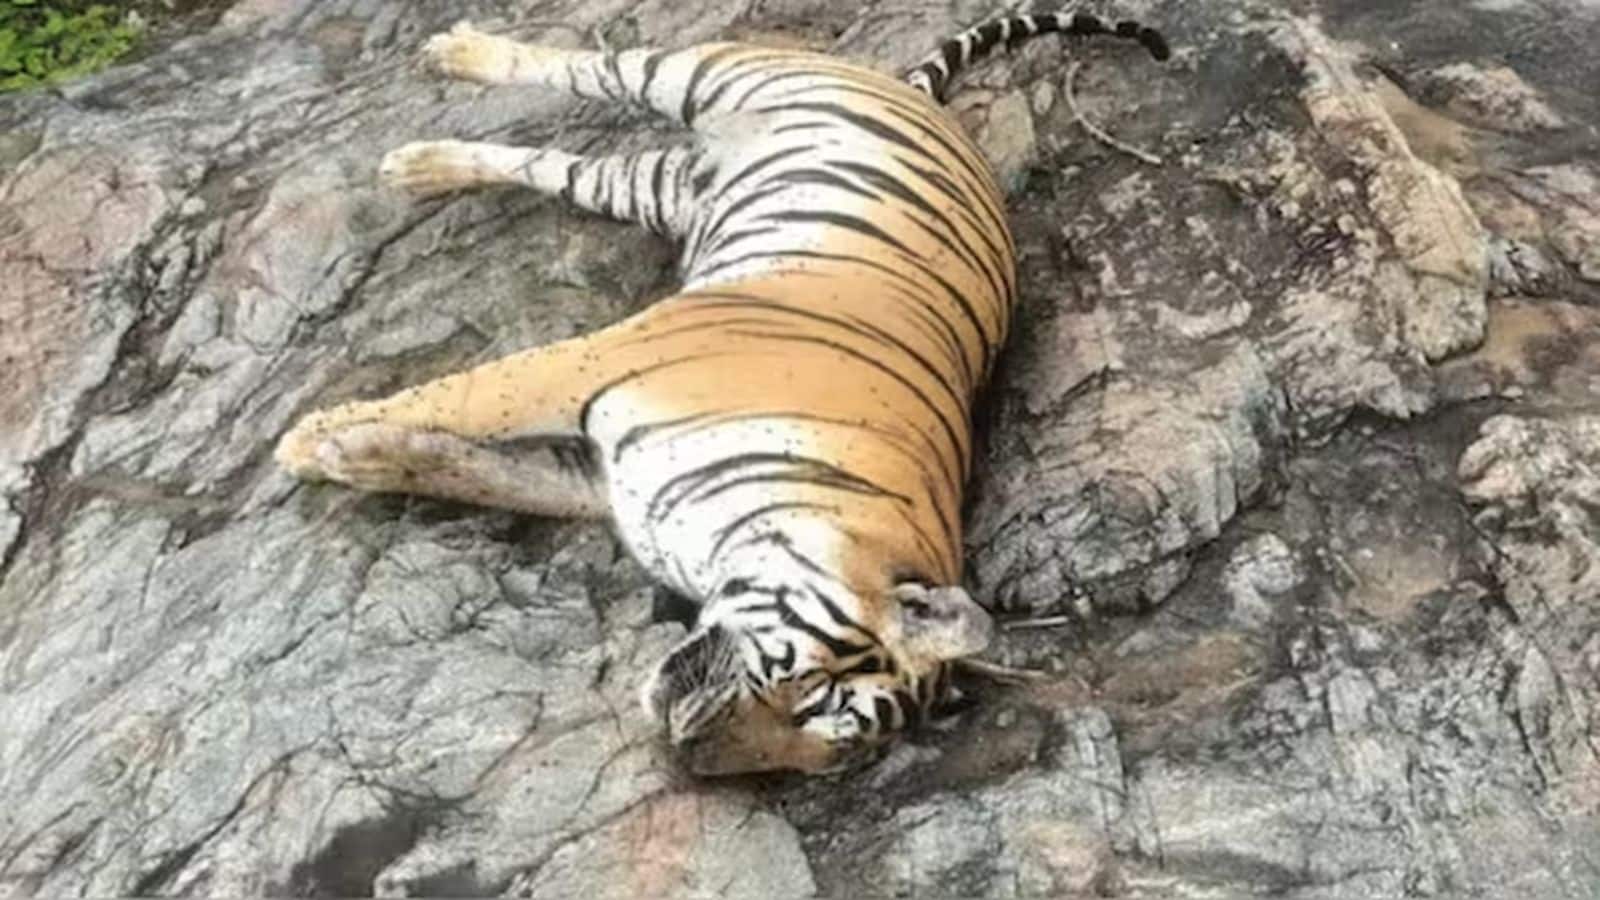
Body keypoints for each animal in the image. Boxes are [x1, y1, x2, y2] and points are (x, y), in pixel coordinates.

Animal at [274, 10, 1170, 775]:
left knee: (555, 166)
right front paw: (307, 439)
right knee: (588, 65)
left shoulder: (595, 480)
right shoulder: (592, 364)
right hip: (704, 73)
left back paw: (421, 167)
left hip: (654, 187)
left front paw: (355, 456)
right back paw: (453, 55)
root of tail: (919, 98)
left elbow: (471, 469)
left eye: (823, 751)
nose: (689, 753)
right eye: (807, 690)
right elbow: (463, 396)